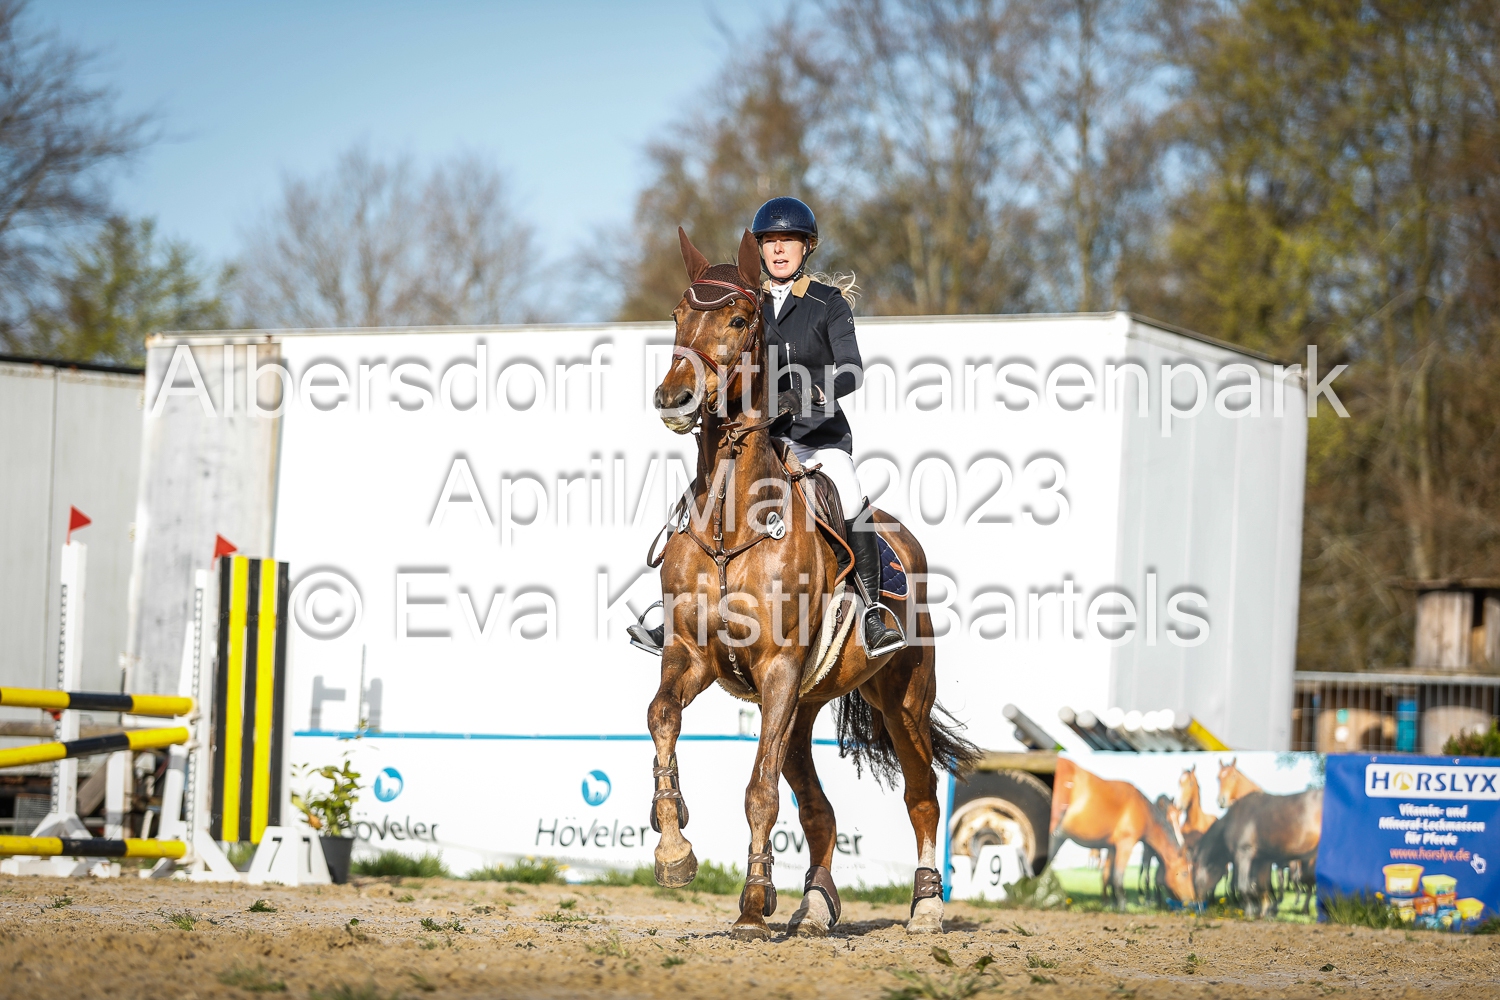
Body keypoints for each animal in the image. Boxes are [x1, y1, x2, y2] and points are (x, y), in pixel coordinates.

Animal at [645, 229, 981, 940]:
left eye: (740, 321)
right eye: (677, 316)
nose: (673, 398)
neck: (732, 520)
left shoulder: (776, 669)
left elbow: (759, 790)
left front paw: (750, 907)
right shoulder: (691, 657)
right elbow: (662, 717)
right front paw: (675, 849)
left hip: (901, 699)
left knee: (920, 794)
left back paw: (925, 906)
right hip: (803, 705)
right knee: (817, 805)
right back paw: (816, 904)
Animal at [1047, 758, 1195, 909]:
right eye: (1184, 873)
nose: (1192, 901)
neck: (1142, 811)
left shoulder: (1113, 847)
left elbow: (1109, 876)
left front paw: (1112, 904)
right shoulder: (1125, 844)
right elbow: (1117, 877)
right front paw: (1122, 907)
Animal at [1190, 788, 1323, 918]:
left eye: (1193, 876)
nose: (1198, 906)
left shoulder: (1243, 854)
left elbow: (1244, 886)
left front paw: (1249, 913)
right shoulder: (1260, 860)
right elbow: (1259, 887)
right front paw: (1263, 911)